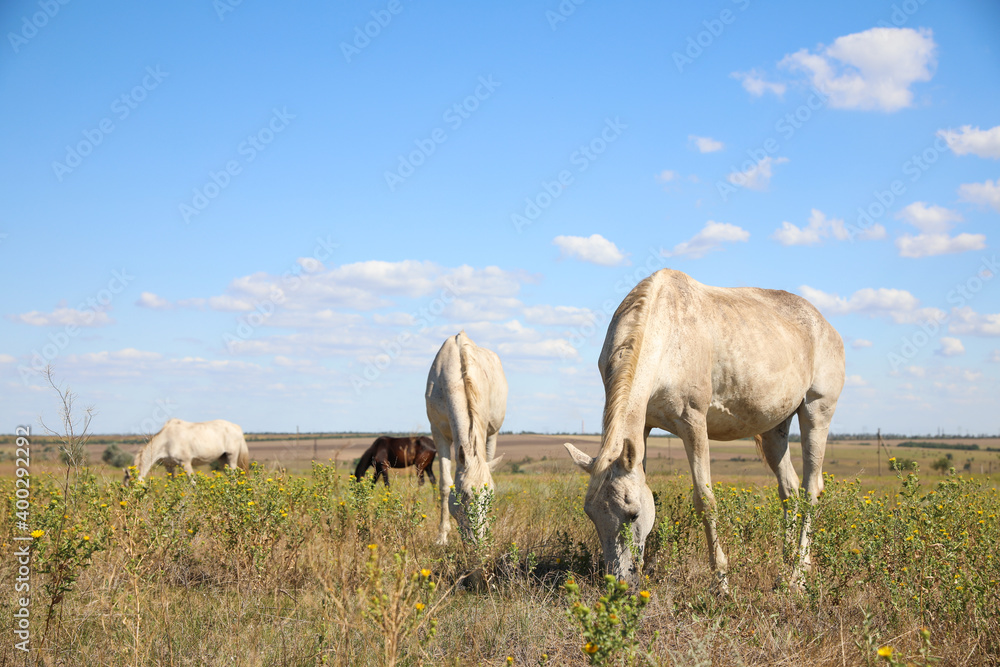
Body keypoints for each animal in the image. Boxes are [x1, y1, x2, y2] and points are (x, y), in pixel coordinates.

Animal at [426, 332, 512, 544]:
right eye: (463, 495)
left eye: (490, 496)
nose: (479, 541)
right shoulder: (438, 433)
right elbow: (444, 485)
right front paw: (442, 536)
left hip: (492, 435)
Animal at [564, 268, 844, 592]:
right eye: (591, 515)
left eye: (632, 514)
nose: (618, 584)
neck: (667, 334)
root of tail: (826, 325)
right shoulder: (643, 427)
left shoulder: (693, 423)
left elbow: (705, 501)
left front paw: (721, 582)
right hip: (775, 429)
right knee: (790, 491)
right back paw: (786, 570)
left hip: (817, 412)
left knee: (811, 490)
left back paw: (798, 574)